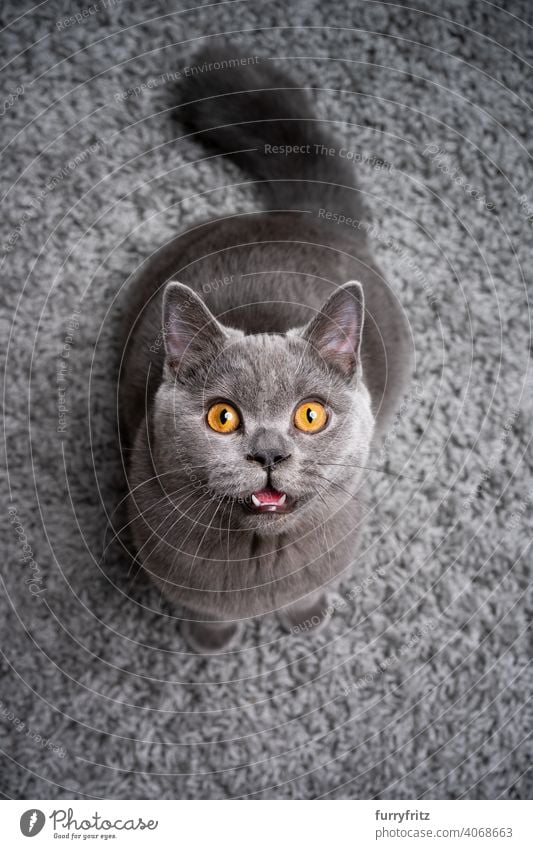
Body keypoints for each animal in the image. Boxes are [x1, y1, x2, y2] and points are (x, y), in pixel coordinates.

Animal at [118, 44, 414, 648]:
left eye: (310, 415)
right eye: (223, 417)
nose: (270, 453)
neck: (258, 560)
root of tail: (300, 216)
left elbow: (307, 593)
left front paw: (307, 619)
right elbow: (206, 611)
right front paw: (211, 643)